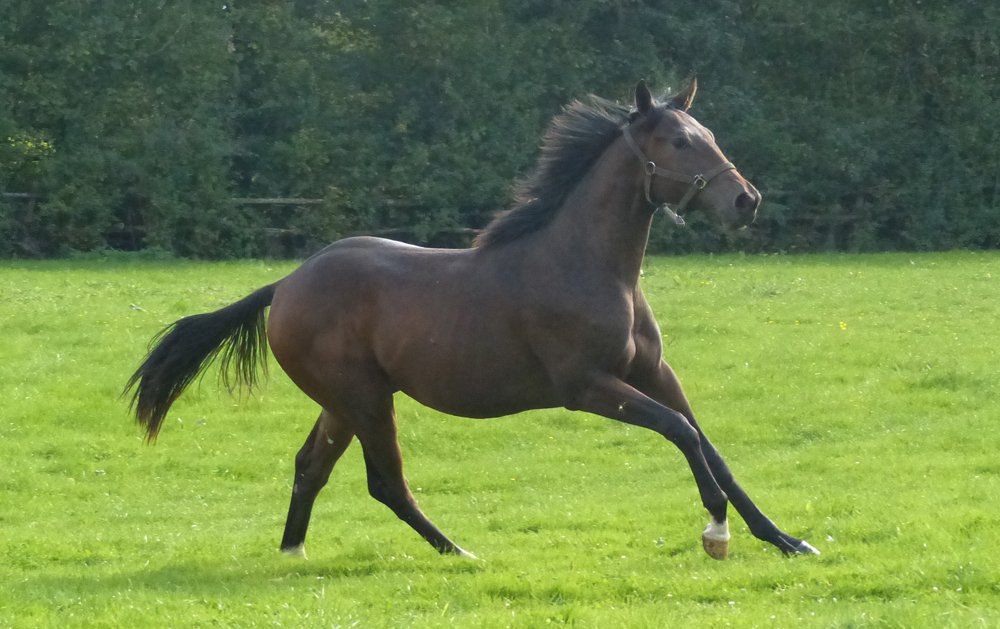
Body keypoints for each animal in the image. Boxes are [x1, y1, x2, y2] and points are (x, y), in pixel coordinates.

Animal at [125, 79, 819, 561]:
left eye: (706, 132)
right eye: (678, 142)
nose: (746, 201)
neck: (587, 264)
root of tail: (286, 284)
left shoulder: (652, 372)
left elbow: (708, 445)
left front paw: (785, 540)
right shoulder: (587, 387)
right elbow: (680, 432)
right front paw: (716, 531)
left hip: (345, 400)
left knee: (310, 466)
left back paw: (294, 551)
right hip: (364, 397)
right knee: (385, 481)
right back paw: (457, 549)